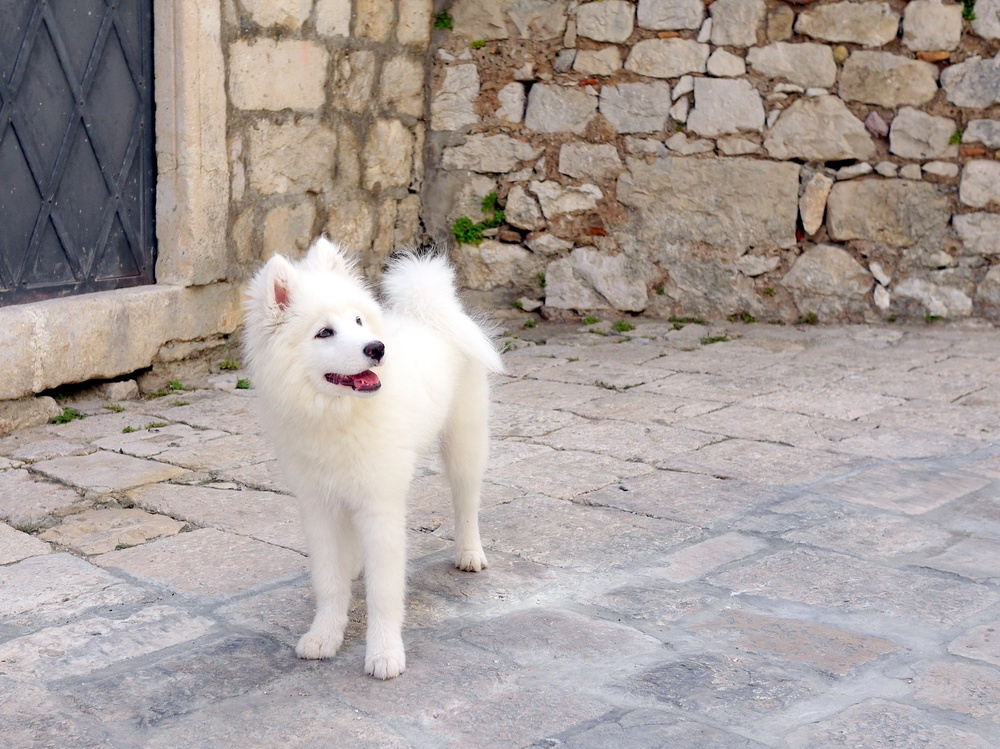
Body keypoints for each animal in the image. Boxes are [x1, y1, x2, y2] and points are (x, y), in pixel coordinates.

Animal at [241, 238, 504, 676]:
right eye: (324, 332)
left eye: (359, 321)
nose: (377, 348)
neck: (339, 414)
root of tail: (430, 306)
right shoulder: (319, 505)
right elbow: (328, 581)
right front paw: (324, 636)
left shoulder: (381, 504)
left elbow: (384, 589)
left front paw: (384, 653)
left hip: (465, 442)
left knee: (466, 501)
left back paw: (469, 554)